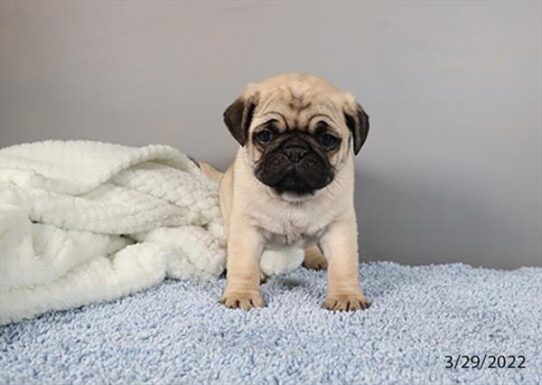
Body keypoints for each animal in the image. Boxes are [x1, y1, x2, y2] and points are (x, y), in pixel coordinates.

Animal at [202, 73, 372, 310]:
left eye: (327, 139)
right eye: (265, 135)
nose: (295, 150)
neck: (293, 196)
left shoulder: (339, 227)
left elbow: (343, 264)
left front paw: (345, 296)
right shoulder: (246, 227)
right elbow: (243, 263)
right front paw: (242, 294)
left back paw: (316, 258)